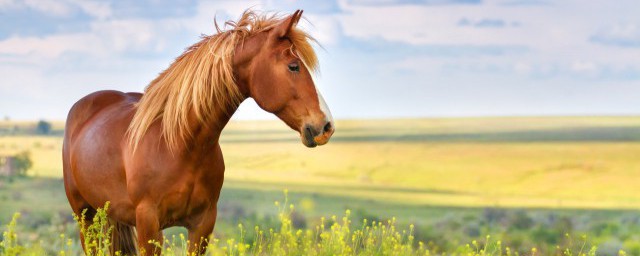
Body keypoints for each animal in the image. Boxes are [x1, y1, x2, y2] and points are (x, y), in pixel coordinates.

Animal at [62, 9, 336, 255]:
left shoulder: (202, 225)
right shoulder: (148, 225)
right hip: (85, 216)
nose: (326, 126)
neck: (179, 145)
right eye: (293, 66)